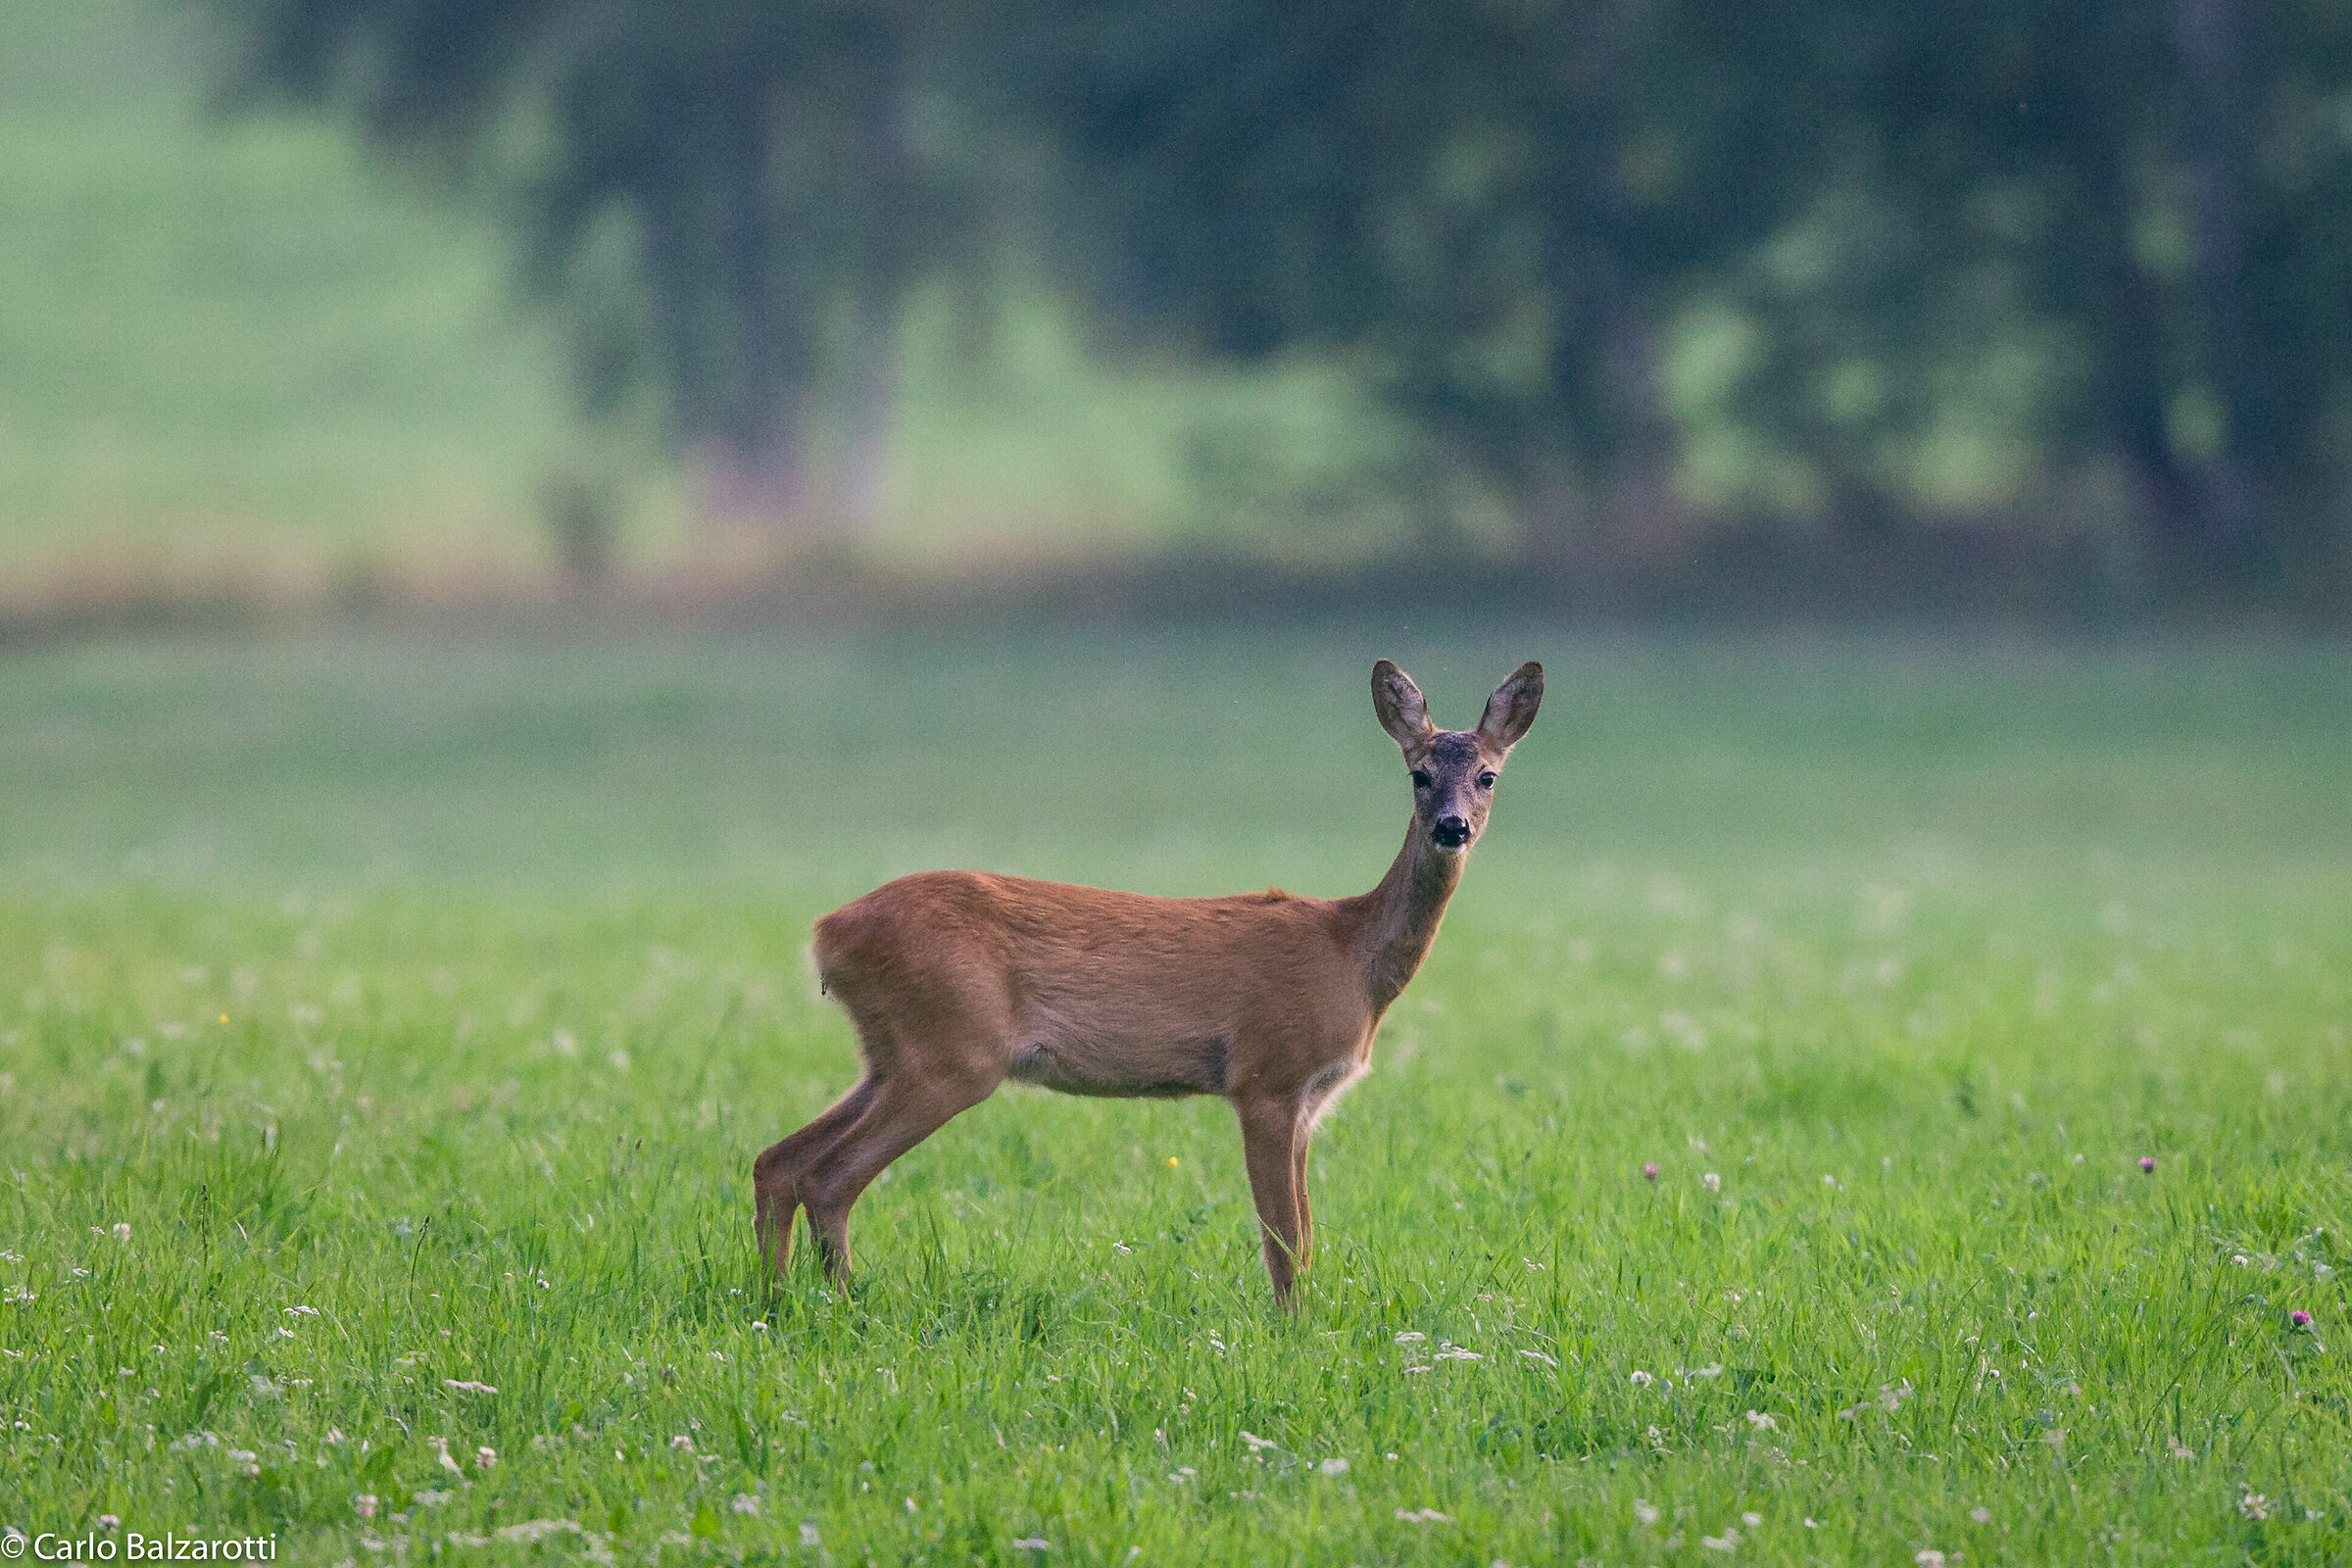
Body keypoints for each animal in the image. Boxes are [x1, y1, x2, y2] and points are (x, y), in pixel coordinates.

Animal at [752, 658, 1542, 1305]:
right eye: (1418, 774)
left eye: (1487, 775)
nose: (1451, 827)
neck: (1353, 954)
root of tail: (827, 933)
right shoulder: (1267, 1076)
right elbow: (1284, 1241)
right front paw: (1295, 1332)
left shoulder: (1312, 1101)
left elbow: (1308, 1236)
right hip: (952, 1052)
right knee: (827, 1175)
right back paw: (838, 1303)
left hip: (891, 1055)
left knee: (778, 1160)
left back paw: (779, 1300)